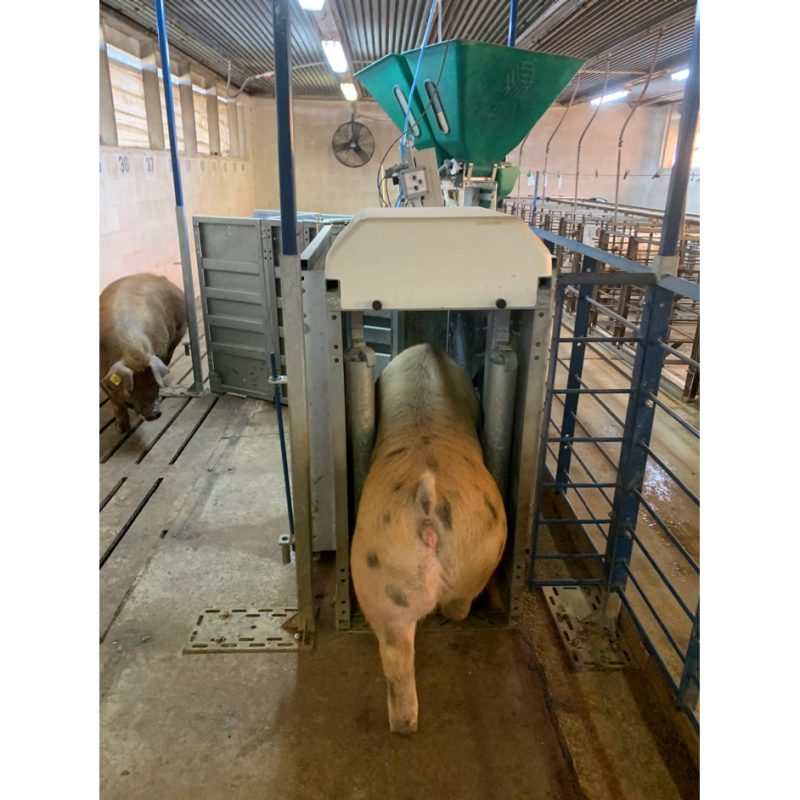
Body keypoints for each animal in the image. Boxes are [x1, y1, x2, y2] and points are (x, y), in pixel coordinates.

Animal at [98, 274, 188, 432]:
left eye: (154, 381)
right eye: (130, 389)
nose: (154, 413)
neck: (131, 351)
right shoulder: (101, 378)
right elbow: (116, 402)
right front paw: (121, 429)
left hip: (179, 330)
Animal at [350, 342, 506, 732]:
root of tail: (427, 509)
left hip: (385, 571)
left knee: (397, 660)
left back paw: (403, 726)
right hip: (476, 550)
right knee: (455, 608)